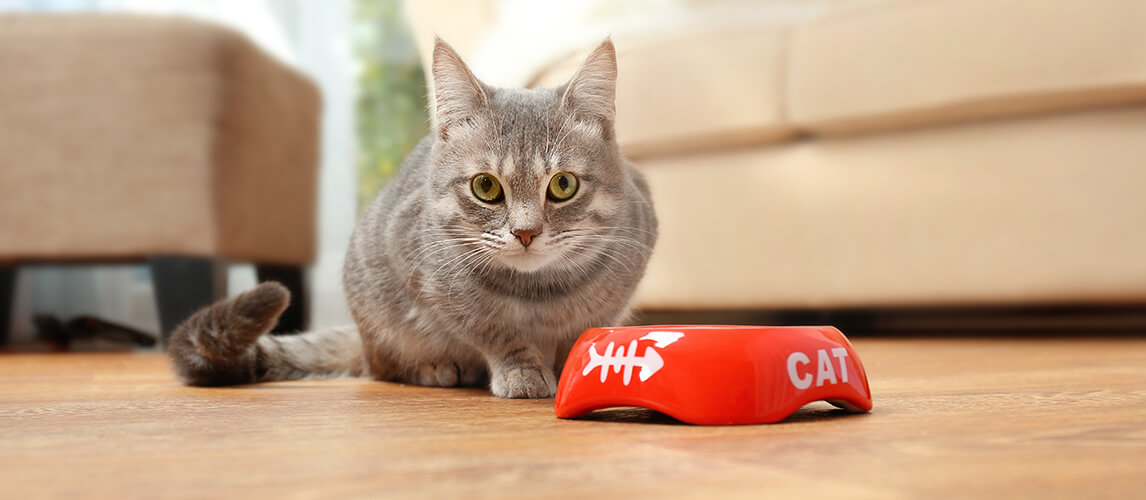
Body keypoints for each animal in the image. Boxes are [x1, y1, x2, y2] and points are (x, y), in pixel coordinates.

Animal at [166, 38, 660, 399]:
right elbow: (495, 330)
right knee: (383, 367)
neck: (538, 295)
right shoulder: (435, 285)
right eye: (486, 187)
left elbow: (583, 332)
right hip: (380, 318)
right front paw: (523, 369)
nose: (525, 232)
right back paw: (436, 367)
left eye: (562, 185)